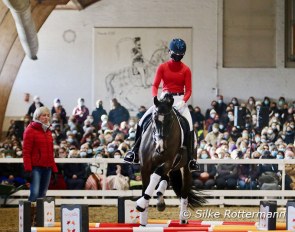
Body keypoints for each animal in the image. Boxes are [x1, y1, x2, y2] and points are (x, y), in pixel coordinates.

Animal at [136, 93, 207, 226]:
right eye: (154, 119)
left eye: (169, 121)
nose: (160, 148)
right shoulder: (144, 166)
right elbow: (145, 188)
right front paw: (143, 220)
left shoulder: (168, 163)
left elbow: (155, 177)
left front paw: (141, 204)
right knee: (165, 180)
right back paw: (160, 201)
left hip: (186, 169)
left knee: (183, 193)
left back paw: (183, 219)